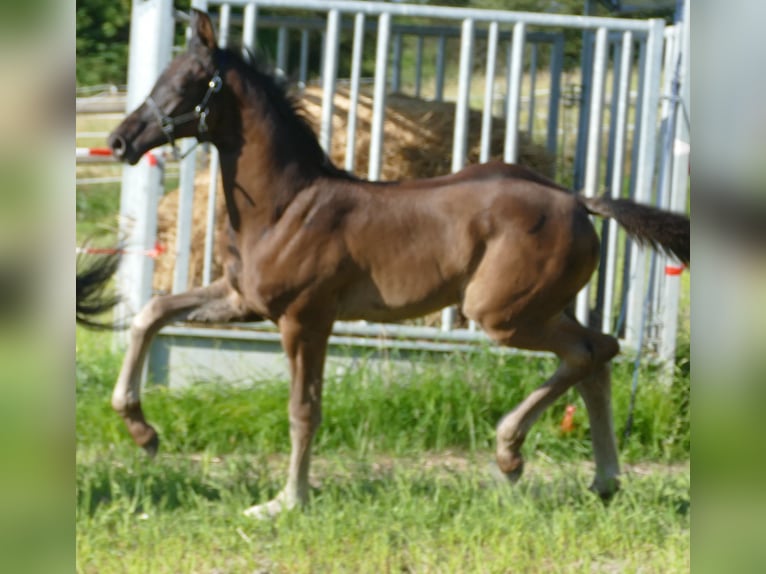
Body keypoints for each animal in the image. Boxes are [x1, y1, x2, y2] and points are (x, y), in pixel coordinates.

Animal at [107, 9, 689, 518]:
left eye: (190, 82)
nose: (119, 141)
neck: (284, 206)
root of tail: (578, 201)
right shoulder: (243, 301)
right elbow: (151, 313)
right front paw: (143, 431)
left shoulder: (304, 318)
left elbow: (304, 410)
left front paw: (286, 502)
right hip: (541, 306)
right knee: (598, 353)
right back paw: (601, 479)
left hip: (502, 314)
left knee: (589, 352)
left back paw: (512, 452)